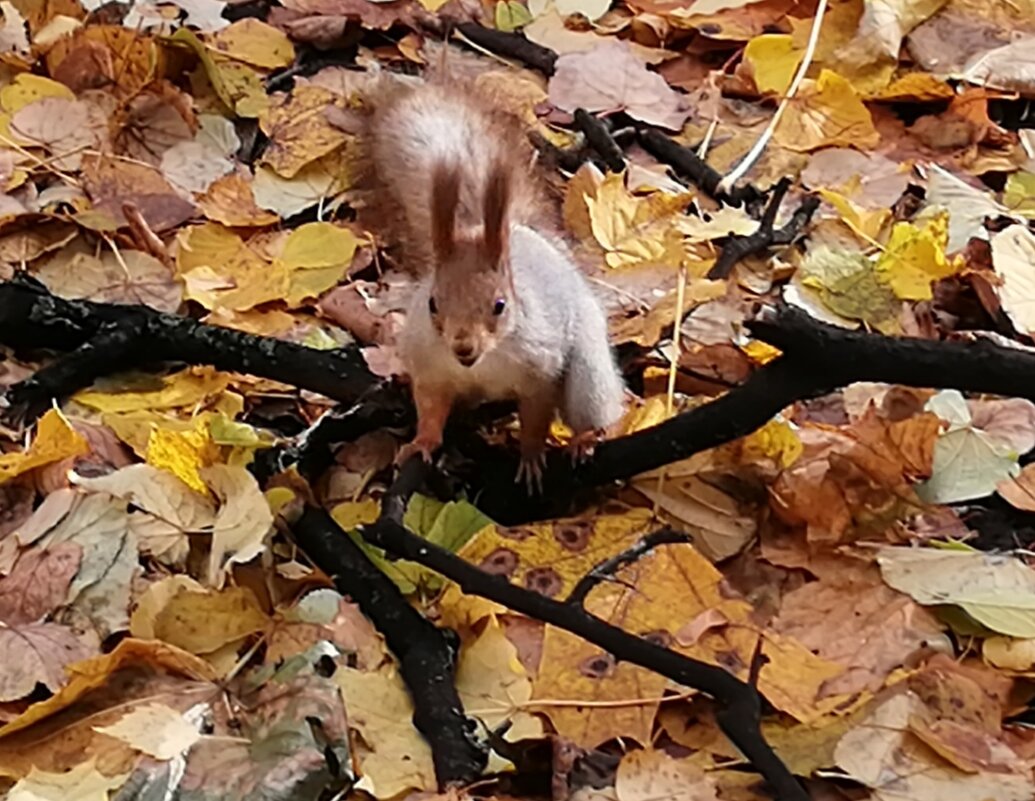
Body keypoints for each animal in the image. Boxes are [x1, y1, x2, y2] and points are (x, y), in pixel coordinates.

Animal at [366, 80, 621, 488]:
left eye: (500, 305)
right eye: (432, 303)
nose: (462, 347)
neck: (485, 362)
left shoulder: (540, 370)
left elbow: (536, 417)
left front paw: (530, 458)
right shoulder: (431, 366)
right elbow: (431, 409)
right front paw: (421, 442)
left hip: (588, 368)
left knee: (592, 404)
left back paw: (586, 438)